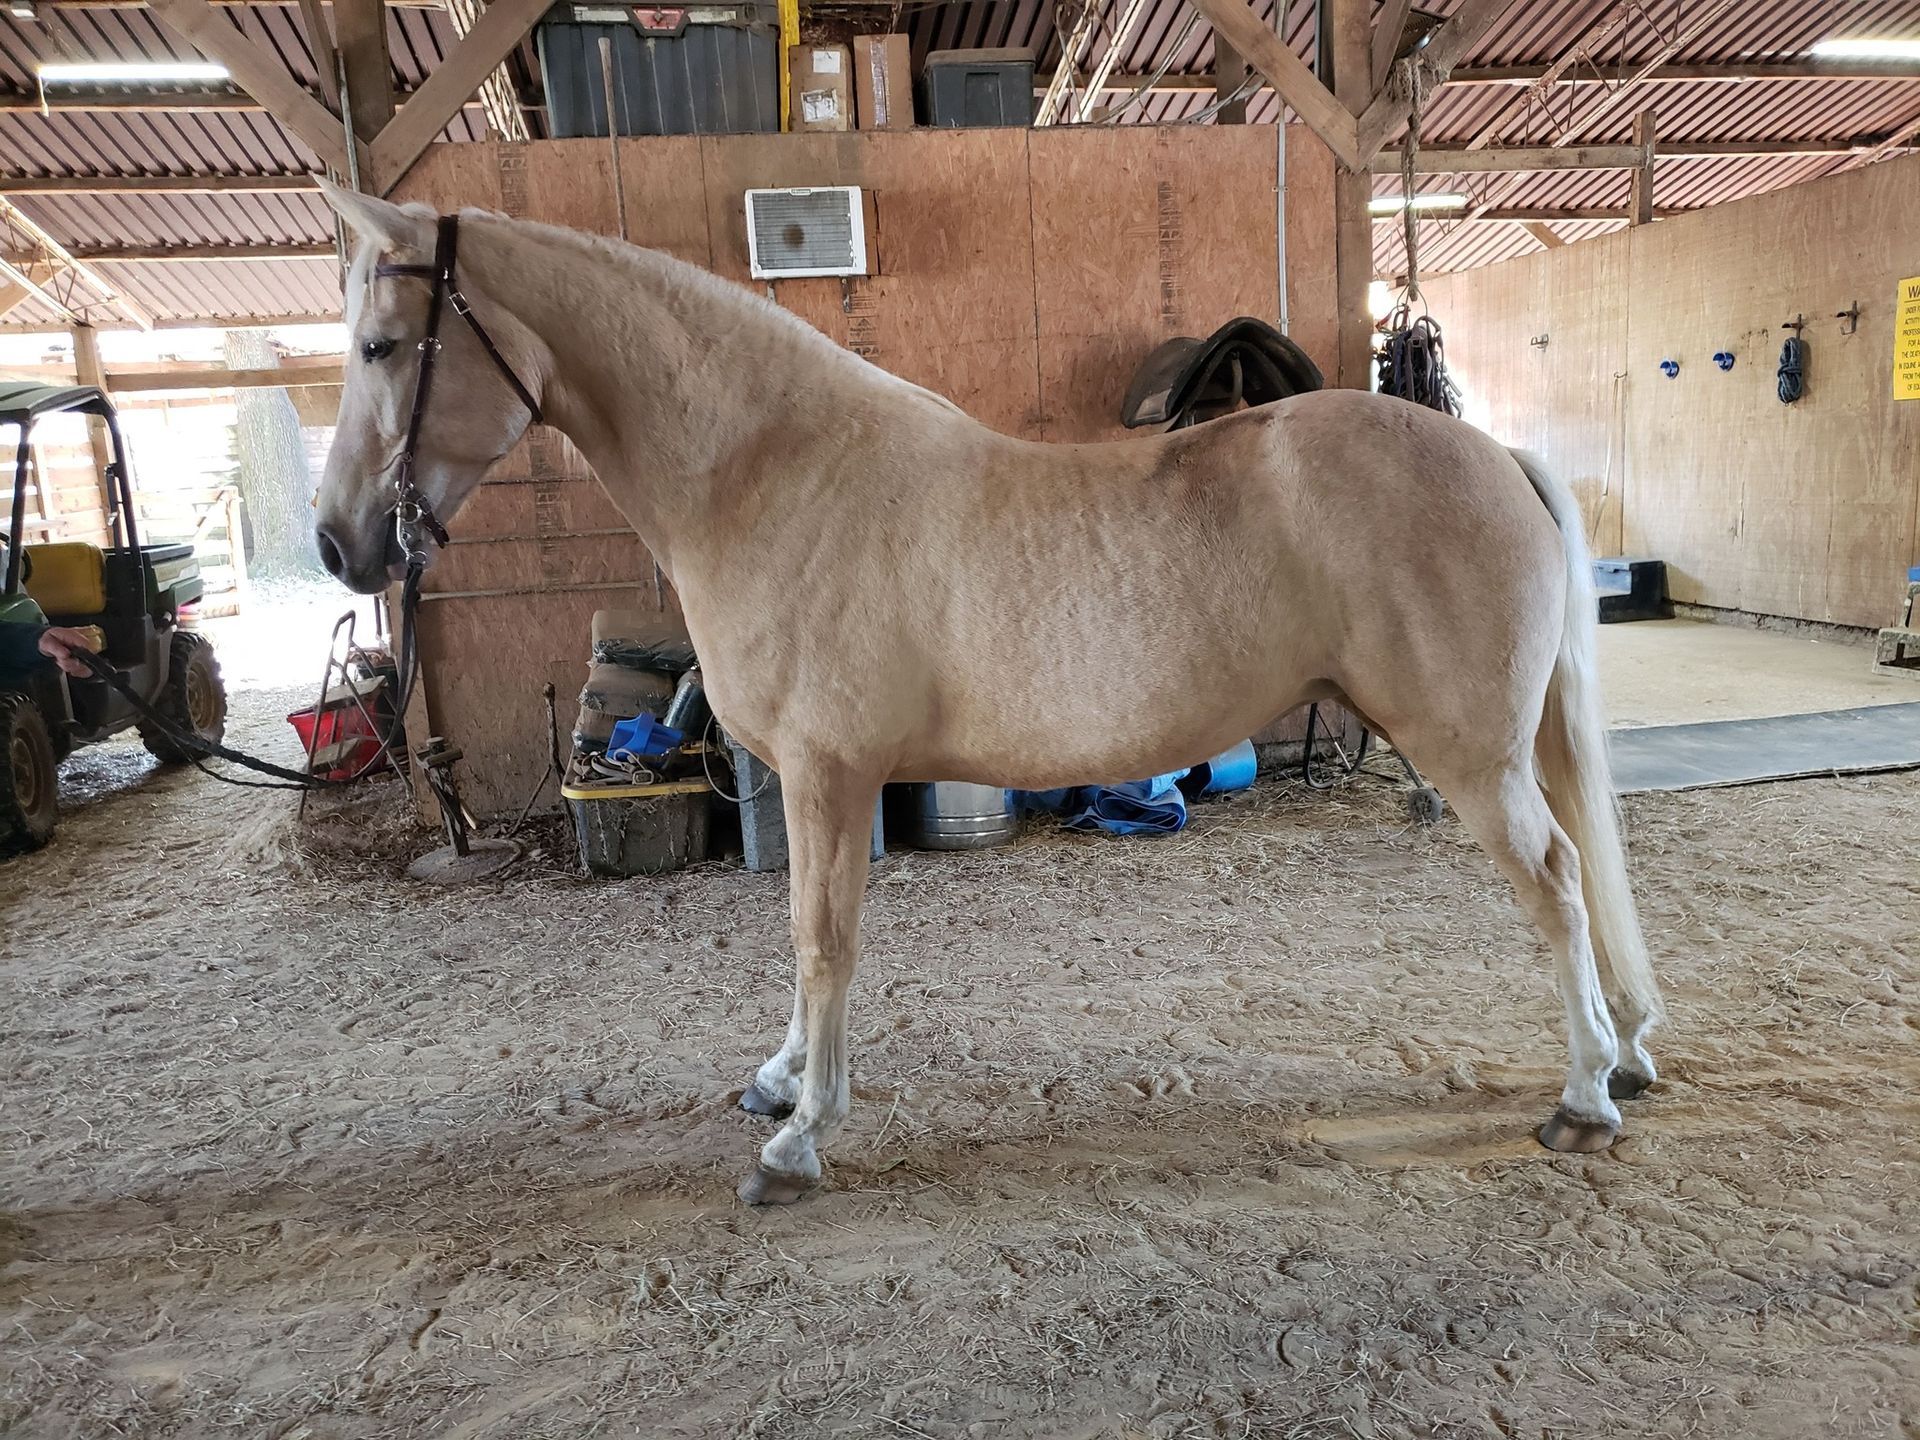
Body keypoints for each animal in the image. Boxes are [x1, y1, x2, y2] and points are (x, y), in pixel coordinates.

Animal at [313, 181, 1663, 1205]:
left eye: (379, 346)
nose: (337, 545)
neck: (771, 472)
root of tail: (1493, 454)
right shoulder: (811, 781)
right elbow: (800, 939)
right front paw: (779, 1081)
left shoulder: (829, 774)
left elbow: (822, 939)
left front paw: (799, 1138)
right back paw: (1629, 1055)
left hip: (1471, 755)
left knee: (1555, 882)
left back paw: (1585, 1095)